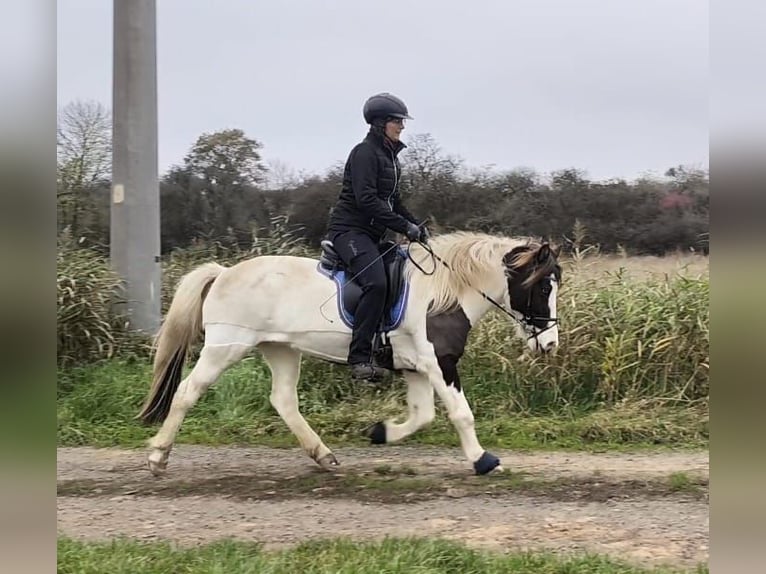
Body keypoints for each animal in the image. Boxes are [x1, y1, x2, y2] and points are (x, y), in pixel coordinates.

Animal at [136, 232, 564, 480]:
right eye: (543, 286)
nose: (549, 344)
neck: (444, 294)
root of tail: (223, 272)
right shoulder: (439, 364)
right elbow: (461, 413)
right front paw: (483, 460)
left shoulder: (416, 368)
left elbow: (423, 416)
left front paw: (380, 432)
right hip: (225, 347)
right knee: (187, 392)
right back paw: (158, 457)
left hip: (281, 349)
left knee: (284, 400)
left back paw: (323, 456)